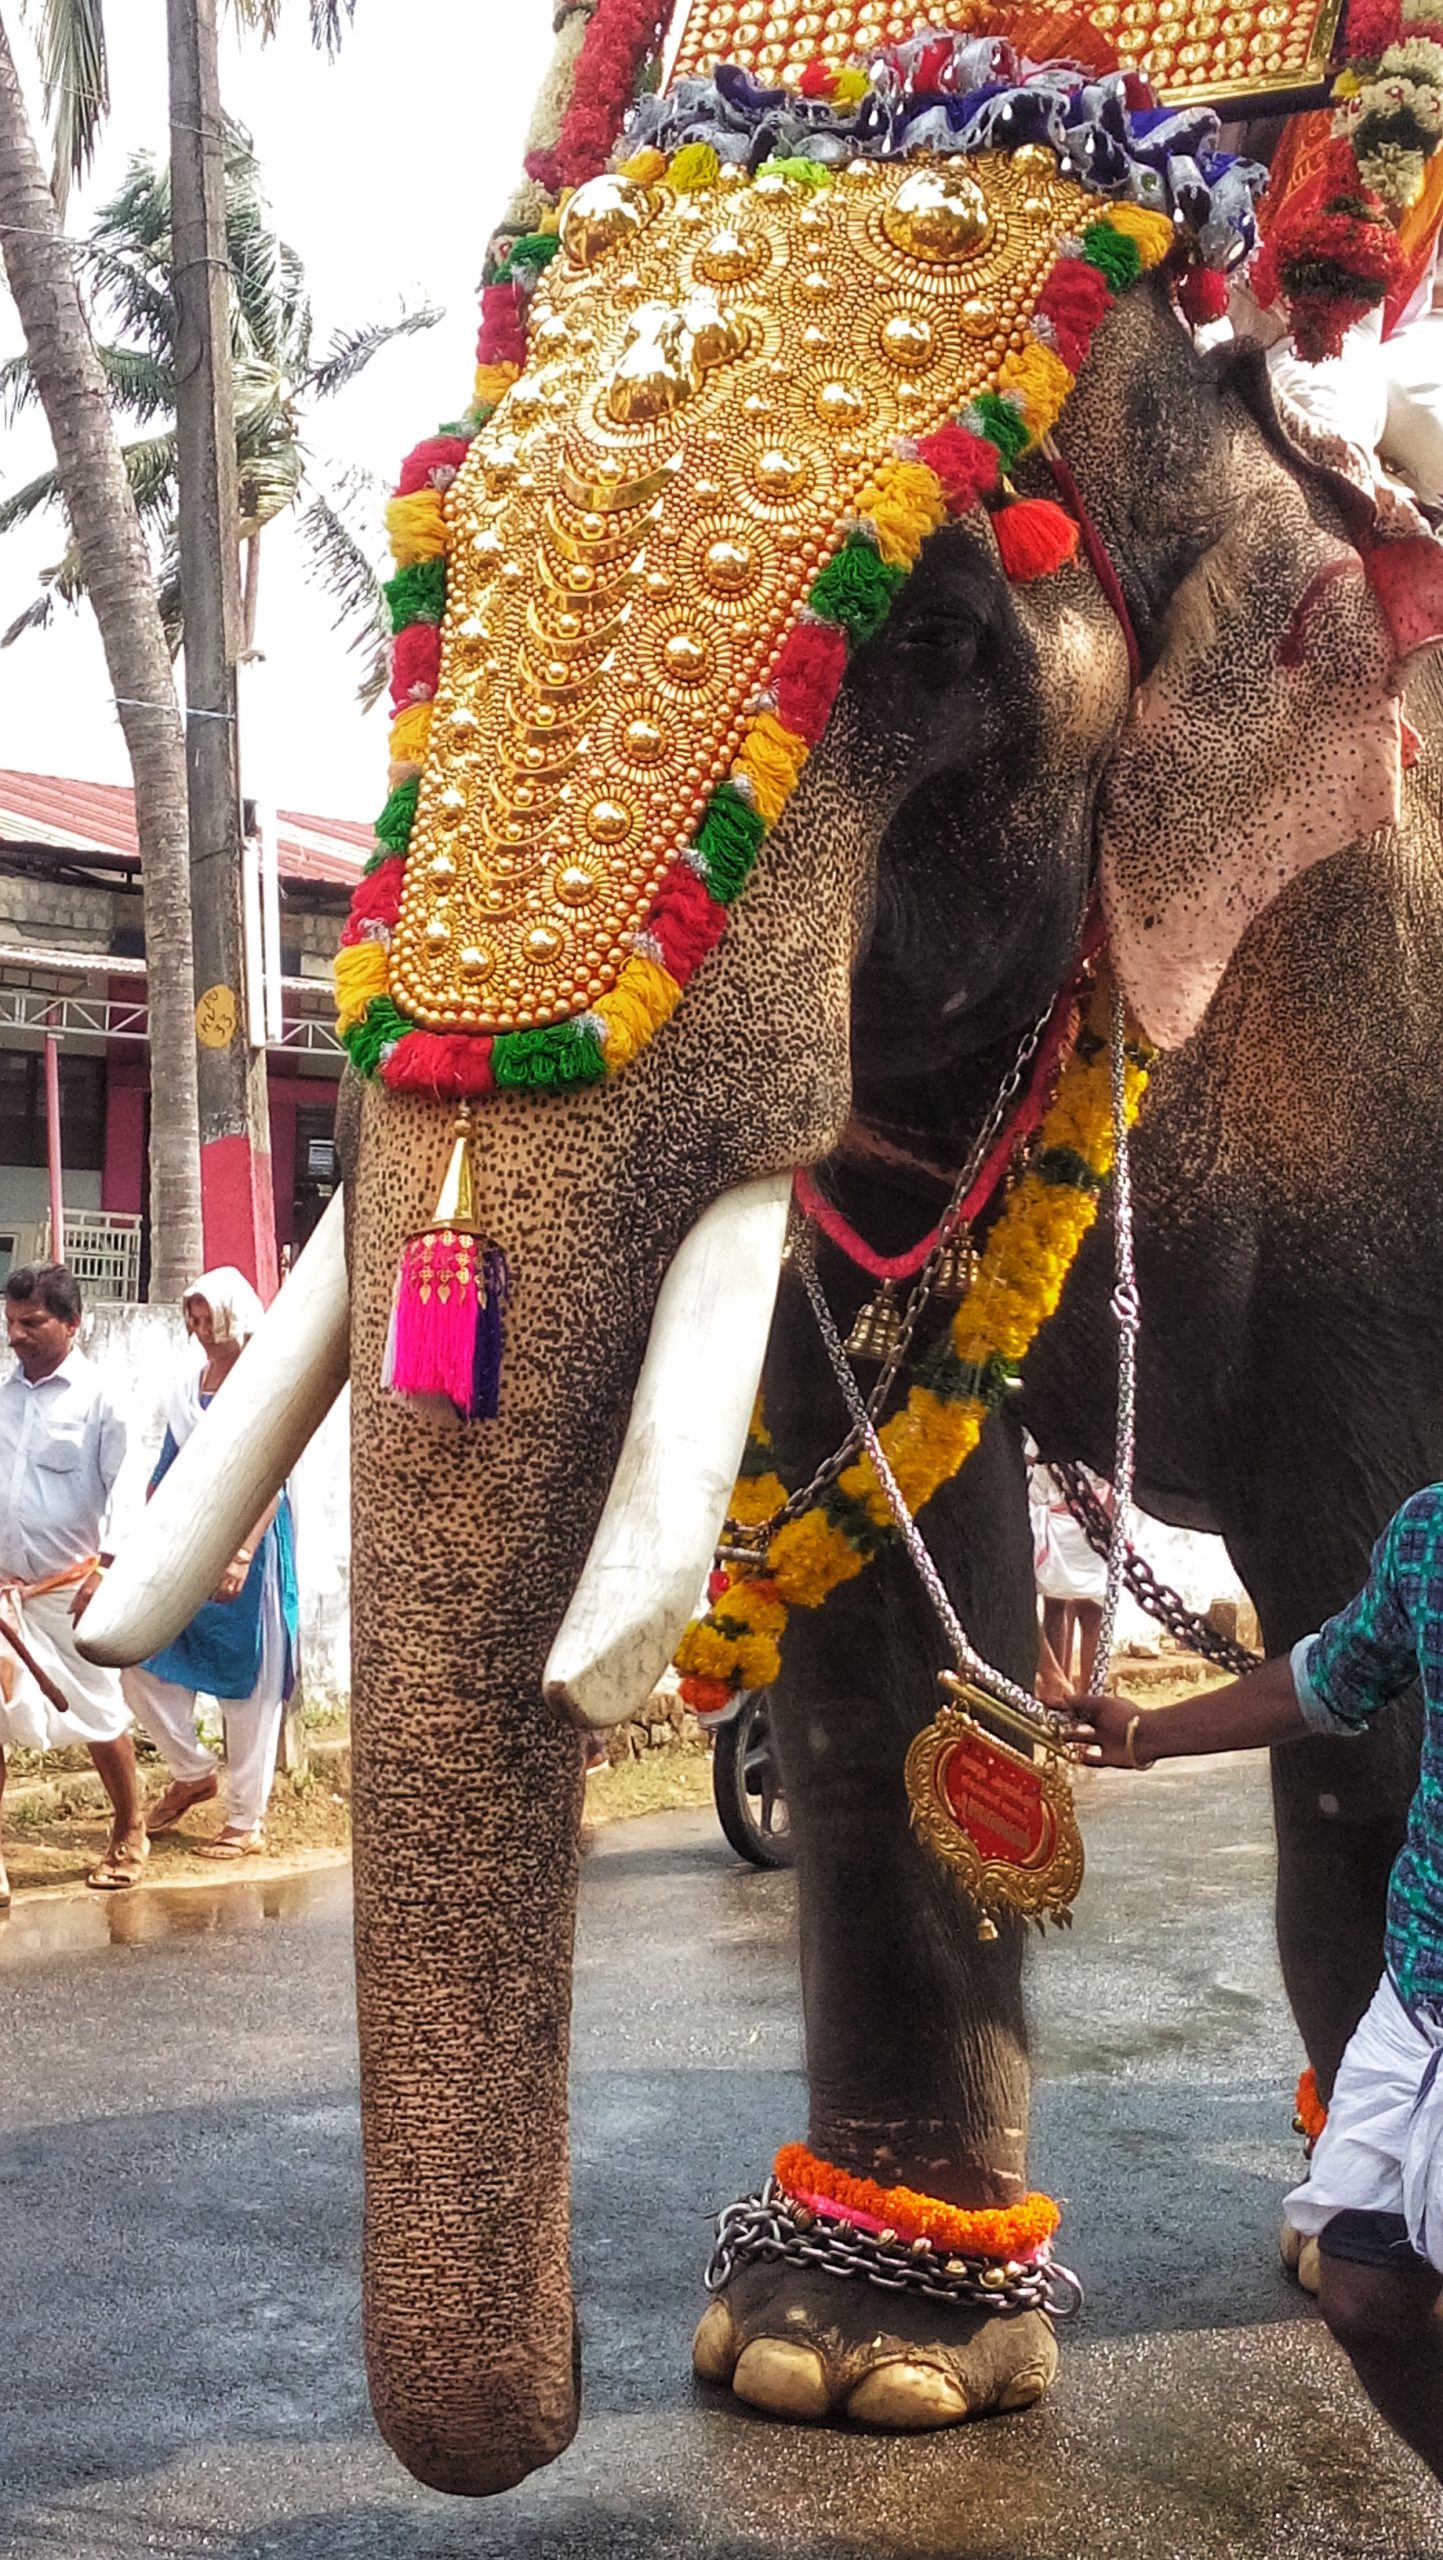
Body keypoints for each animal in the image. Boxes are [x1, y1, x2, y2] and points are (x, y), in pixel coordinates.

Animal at [76, 99, 1443, 2498]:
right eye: (427, 588)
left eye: (928, 635)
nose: (542, 2394)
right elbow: (880, 1621)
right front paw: (854, 2359)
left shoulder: (1357, 1018)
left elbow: (1349, 1613)